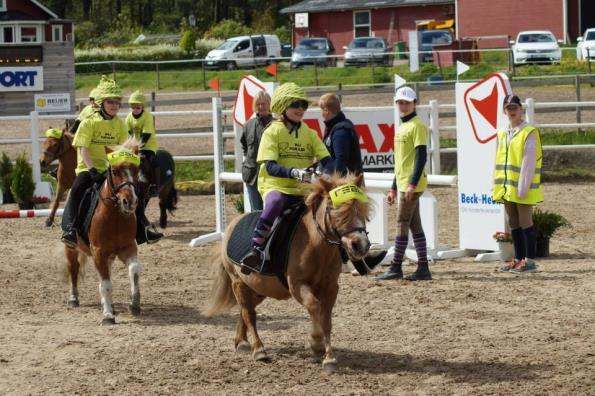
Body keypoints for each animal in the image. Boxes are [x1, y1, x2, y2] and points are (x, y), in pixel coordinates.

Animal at [63, 138, 143, 324]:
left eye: (136, 170)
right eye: (114, 170)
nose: (129, 202)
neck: (115, 217)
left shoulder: (128, 248)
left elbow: (134, 269)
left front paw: (134, 304)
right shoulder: (98, 252)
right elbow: (105, 284)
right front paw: (107, 315)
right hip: (71, 248)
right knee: (73, 269)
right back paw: (73, 298)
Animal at [205, 172, 372, 372]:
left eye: (361, 208)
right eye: (335, 208)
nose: (360, 245)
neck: (316, 244)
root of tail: (231, 225)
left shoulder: (331, 287)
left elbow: (326, 320)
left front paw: (329, 359)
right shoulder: (297, 285)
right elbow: (314, 306)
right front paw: (316, 345)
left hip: (258, 289)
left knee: (245, 310)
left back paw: (242, 342)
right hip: (238, 282)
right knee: (248, 314)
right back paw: (258, 349)